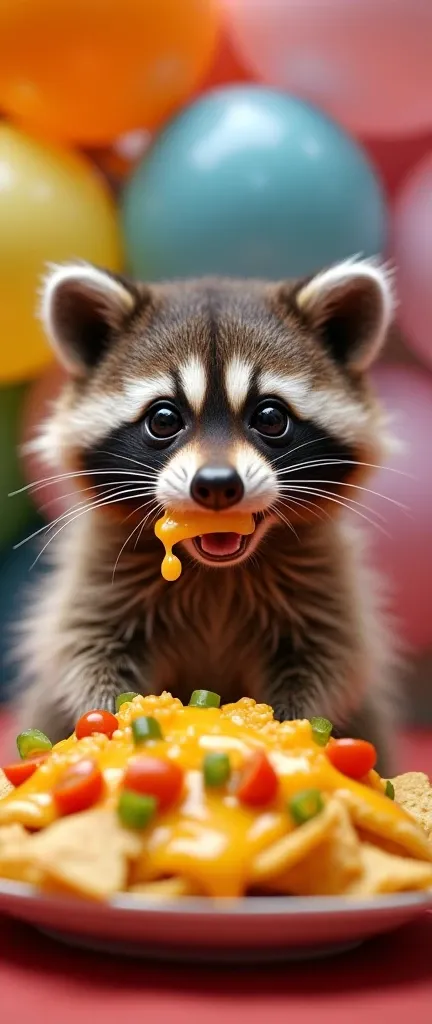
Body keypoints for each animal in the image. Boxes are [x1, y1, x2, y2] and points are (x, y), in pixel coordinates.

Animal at [18, 256, 399, 770]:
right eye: (163, 419)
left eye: (270, 417)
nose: (217, 486)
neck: (215, 572)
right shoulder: (99, 577)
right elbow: (83, 648)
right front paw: (103, 722)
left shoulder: (325, 583)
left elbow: (329, 660)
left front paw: (295, 730)